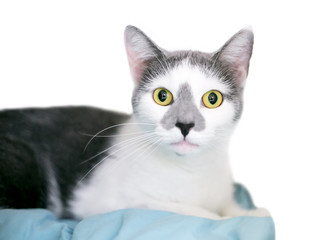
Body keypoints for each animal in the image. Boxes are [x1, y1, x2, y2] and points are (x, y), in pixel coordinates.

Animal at [0, 25, 270, 219]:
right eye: (162, 96)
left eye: (212, 99)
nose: (185, 124)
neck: (190, 171)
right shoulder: (106, 201)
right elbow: (194, 212)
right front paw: (234, 218)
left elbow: (228, 206)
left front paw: (250, 212)